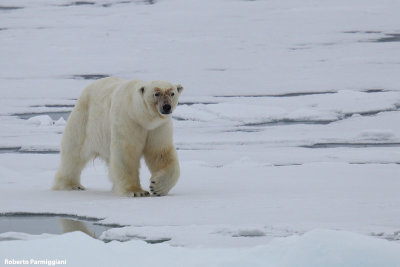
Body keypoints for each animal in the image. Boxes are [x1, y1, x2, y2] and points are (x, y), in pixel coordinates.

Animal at [52, 77, 184, 197]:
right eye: (156, 93)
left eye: (172, 93)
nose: (166, 107)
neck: (140, 116)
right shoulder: (127, 120)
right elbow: (126, 153)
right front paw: (136, 191)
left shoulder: (158, 127)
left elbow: (160, 153)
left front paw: (157, 187)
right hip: (83, 121)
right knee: (73, 154)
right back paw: (71, 185)